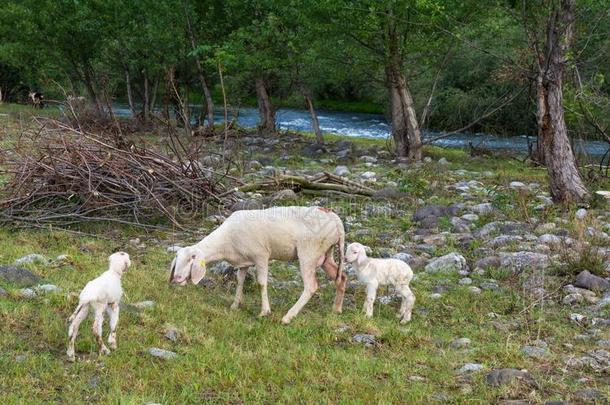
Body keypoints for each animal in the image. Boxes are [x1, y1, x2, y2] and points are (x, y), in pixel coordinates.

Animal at [169, 207, 344, 324]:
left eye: (191, 258)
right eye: (177, 259)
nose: (177, 278)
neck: (226, 242)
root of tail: (336, 219)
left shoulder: (261, 256)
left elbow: (261, 283)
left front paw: (264, 311)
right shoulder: (243, 261)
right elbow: (240, 280)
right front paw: (235, 305)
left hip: (309, 252)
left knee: (311, 286)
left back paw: (288, 317)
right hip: (325, 254)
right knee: (341, 277)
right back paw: (336, 309)